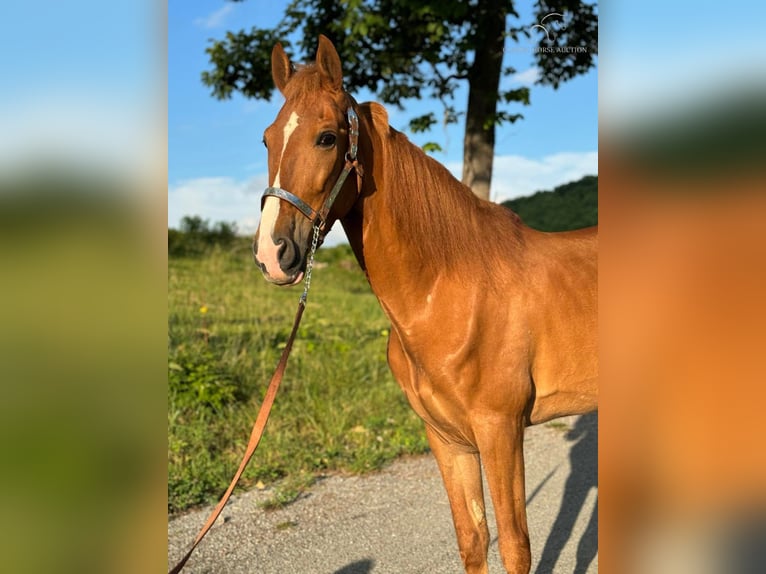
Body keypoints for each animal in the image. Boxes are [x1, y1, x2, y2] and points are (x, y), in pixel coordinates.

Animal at [254, 36, 600, 574]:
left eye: (327, 138)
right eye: (267, 140)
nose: (273, 254)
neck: (448, 292)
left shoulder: (499, 431)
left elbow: (516, 545)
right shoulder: (446, 438)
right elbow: (473, 539)